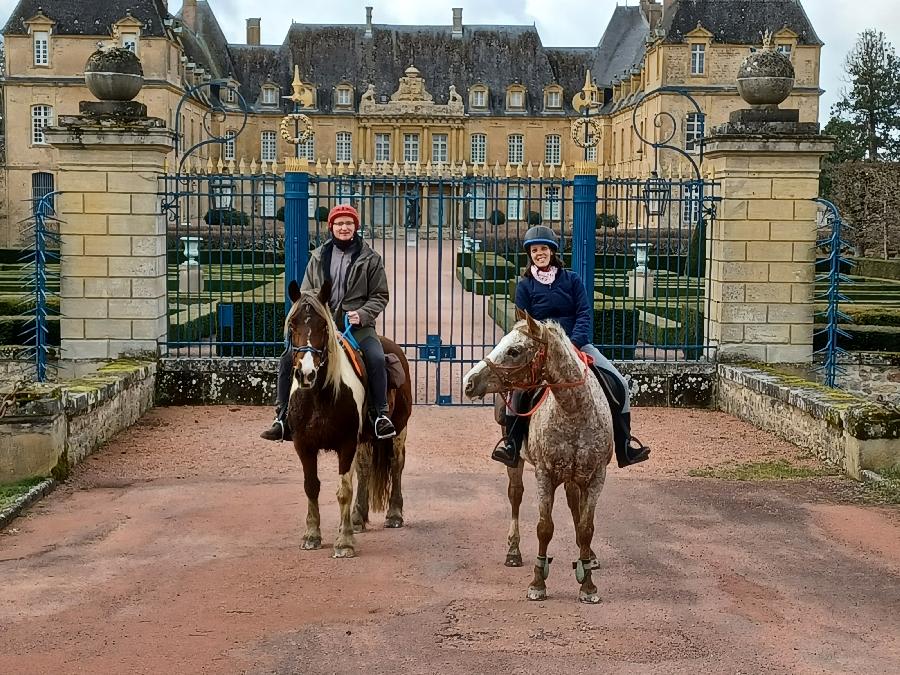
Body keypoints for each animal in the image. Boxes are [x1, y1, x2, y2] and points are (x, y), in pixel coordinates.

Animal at [284, 280, 412, 560]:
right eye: (292, 325)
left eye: (323, 326)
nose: (306, 373)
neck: (320, 395)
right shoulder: (304, 446)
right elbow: (311, 486)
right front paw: (312, 535)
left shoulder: (345, 443)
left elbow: (344, 490)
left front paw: (344, 542)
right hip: (364, 439)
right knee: (364, 469)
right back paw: (357, 517)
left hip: (398, 429)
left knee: (396, 465)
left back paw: (394, 514)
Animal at [460, 314, 616, 604]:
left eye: (514, 350)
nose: (468, 382)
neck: (573, 411)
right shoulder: (544, 474)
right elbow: (544, 527)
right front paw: (538, 583)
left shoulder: (596, 477)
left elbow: (587, 527)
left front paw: (588, 584)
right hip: (516, 460)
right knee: (515, 494)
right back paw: (513, 552)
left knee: (573, 503)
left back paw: (588, 556)